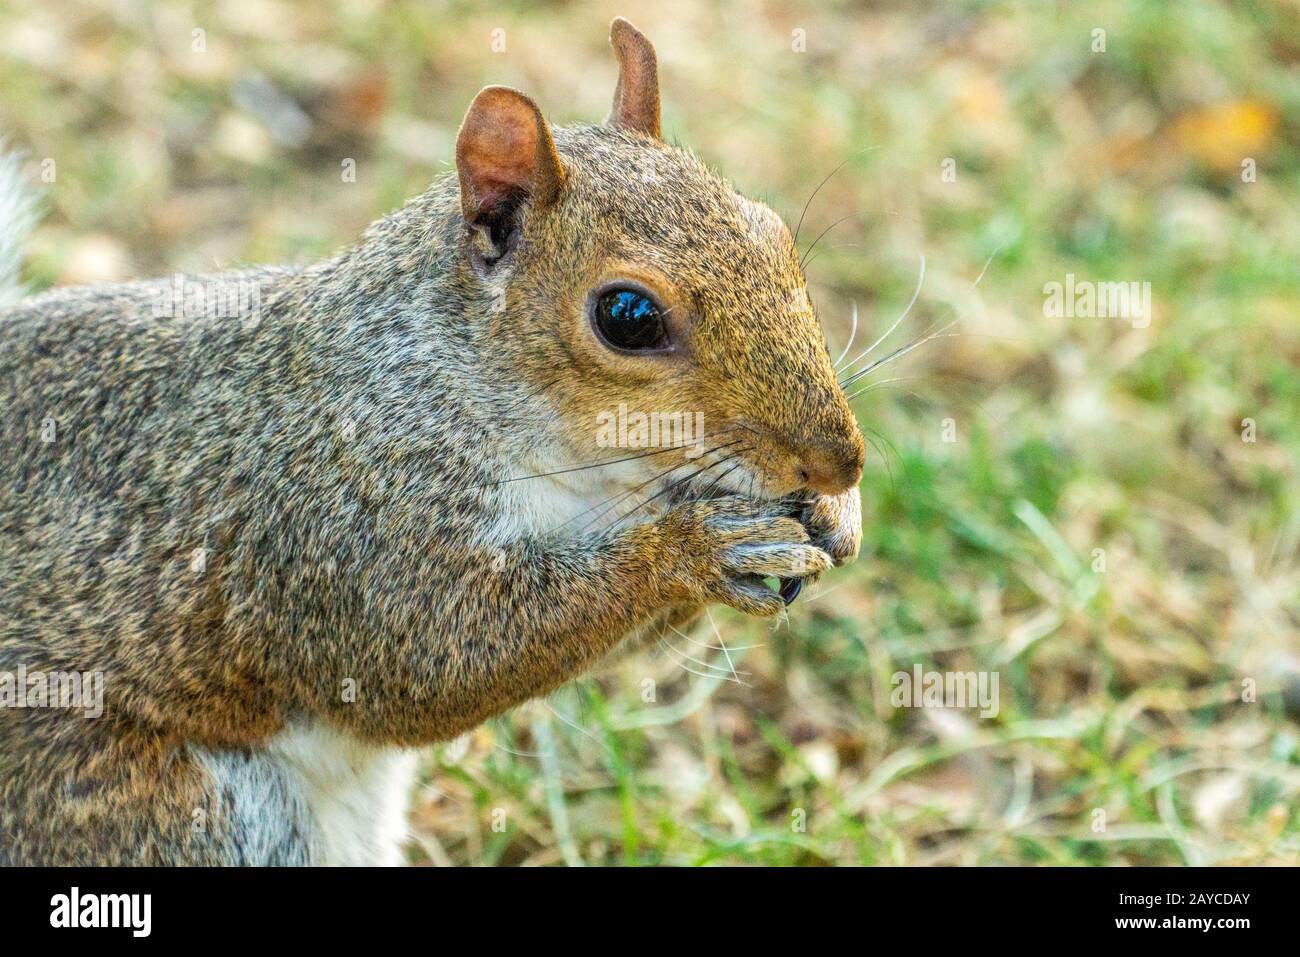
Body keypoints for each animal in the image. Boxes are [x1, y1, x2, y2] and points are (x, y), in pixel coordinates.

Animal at [5, 16, 868, 868]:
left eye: (774, 231)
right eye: (628, 316)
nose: (839, 460)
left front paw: (838, 513)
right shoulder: (342, 518)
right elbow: (432, 659)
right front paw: (691, 549)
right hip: (160, 808)